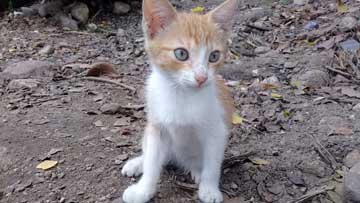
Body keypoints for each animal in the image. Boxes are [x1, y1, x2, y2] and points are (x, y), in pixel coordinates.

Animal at [121, 0, 238, 202]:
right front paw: (143, 190)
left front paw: (209, 190)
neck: (181, 94)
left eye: (214, 56)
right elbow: (152, 162)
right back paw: (138, 163)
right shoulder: (157, 127)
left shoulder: (217, 131)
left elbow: (212, 165)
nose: (202, 77)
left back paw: (196, 170)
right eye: (181, 54)